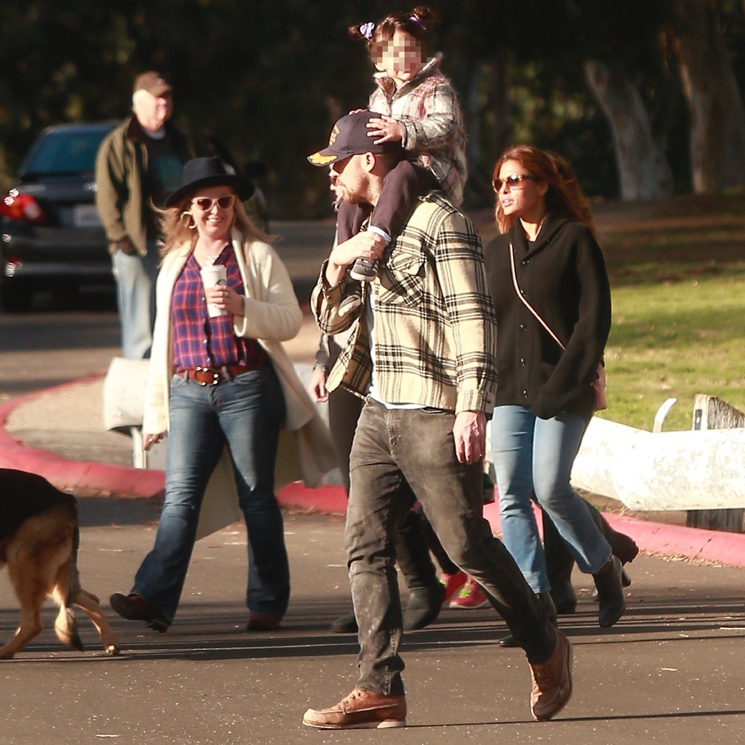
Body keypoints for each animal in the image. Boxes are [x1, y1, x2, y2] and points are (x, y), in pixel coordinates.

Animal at [0, 470, 119, 656]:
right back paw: (111, 641)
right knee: (88, 597)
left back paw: (6, 650)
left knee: (33, 624)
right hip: (50, 575)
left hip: (22, 562)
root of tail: (65, 498)